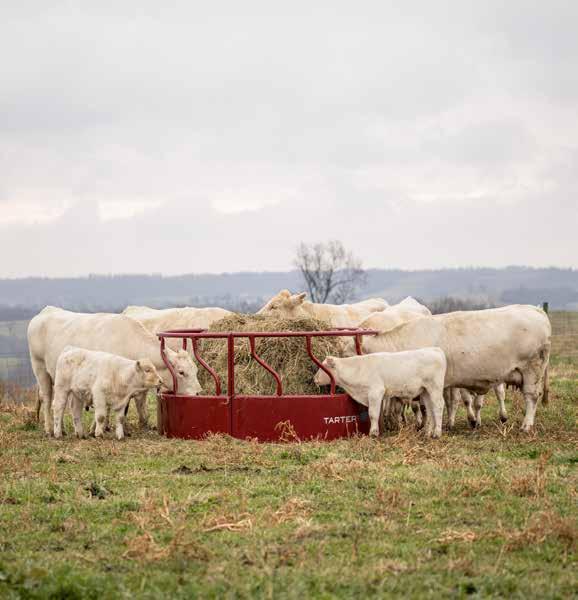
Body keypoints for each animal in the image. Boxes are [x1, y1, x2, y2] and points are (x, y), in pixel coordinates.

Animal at [28, 310, 202, 432]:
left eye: (195, 370)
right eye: (181, 372)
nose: (199, 393)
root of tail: (46, 311)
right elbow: (105, 406)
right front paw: (98, 428)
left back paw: (62, 428)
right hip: (40, 368)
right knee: (47, 398)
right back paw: (49, 429)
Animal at [316, 346, 446, 440]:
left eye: (323, 366)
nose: (314, 378)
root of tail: (435, 349)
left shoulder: (375, 392)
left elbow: (373, 414)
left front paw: (373, 433)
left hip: (435, 388)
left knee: (438, 406)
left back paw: (437, 433)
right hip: (425, 391)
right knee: (430, 409)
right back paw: (428, 433)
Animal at [330, 304, 548, 432]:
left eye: (347, 355)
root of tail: (535, 309)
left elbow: (426, 406)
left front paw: (427, 429)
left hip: (532, 370)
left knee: (531, 398)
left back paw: (526, 426)